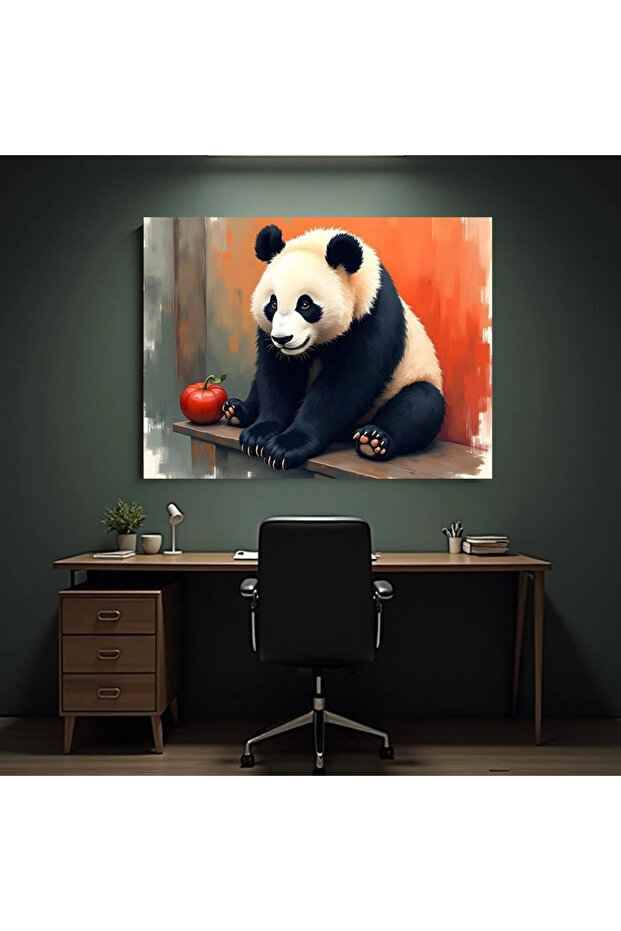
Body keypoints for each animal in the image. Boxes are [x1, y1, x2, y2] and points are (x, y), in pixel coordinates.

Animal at [222, 224, 445, 470]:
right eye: (273, 303)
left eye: (305, 304)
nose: (282, 338)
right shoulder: (271, 337)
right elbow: (278, 375)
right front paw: (259, 434)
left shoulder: (372, 316)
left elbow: (345, 383)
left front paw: (286, 446)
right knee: (257, 383)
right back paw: (237, 411)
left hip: (409, 380)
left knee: (421, 403)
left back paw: (374, 440)